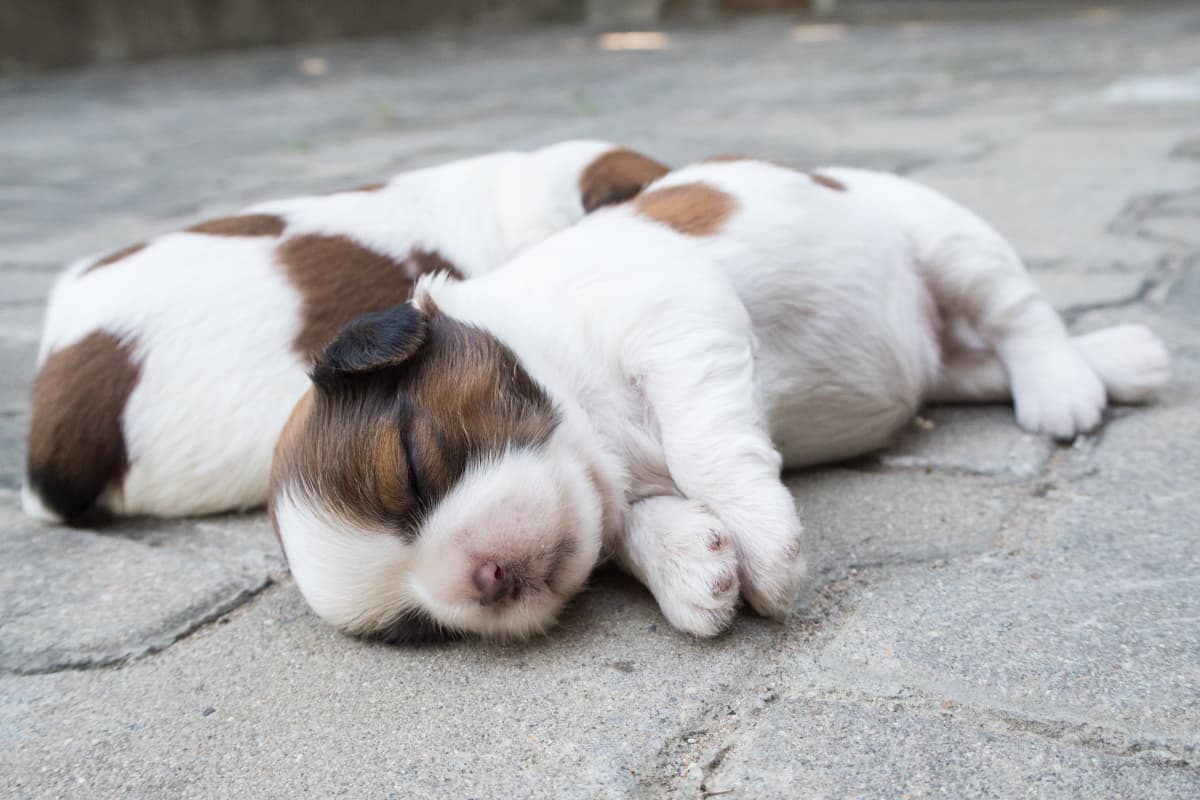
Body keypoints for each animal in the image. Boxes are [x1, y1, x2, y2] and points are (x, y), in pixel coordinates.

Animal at [267, 158, 1166, 642]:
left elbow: (704, 450)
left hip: (945, 235)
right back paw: (1121, 361)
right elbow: (628, 526)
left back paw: (1066, 384)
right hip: (943, 363)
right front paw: (689, 570)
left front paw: (766, 549)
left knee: (1020, 317)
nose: (482, 580)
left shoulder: (679, 322)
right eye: (419, 627)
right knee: (983, 361)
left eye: (413, 467)